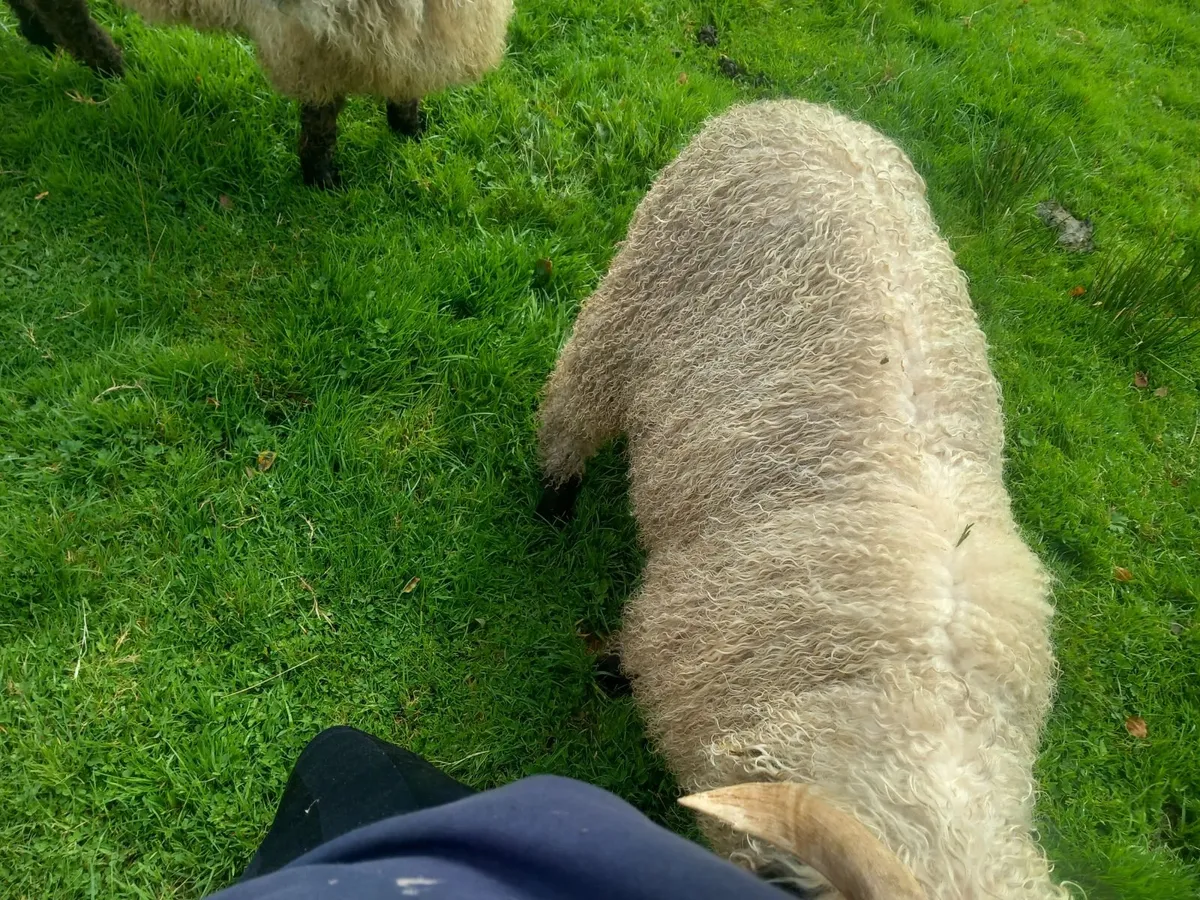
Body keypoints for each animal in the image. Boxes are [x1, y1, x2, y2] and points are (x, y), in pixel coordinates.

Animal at [3, 0, 513, 187]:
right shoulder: (319, 30)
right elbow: (322, 109)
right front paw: (321, 176)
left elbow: (405, 77)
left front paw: (410, 127)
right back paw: (111, 65)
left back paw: (39, 34)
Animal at [536, 99, 1068, 900]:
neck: (917, 705)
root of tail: (808, 111)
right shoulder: (679, 628)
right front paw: (606, 677)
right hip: (634, 297)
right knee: (575, 399)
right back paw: (552, 499)